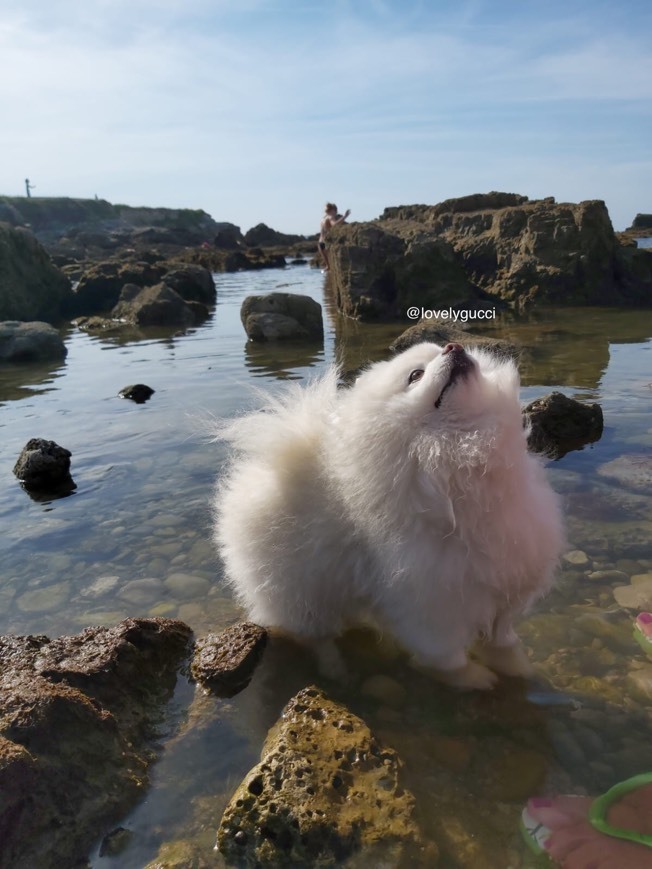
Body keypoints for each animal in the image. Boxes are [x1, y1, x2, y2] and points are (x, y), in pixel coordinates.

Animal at [215, 342, 564, 688]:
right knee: (314, 635)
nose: (454, 346)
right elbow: (446, 660)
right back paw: (335, 668)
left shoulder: (506, 588)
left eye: (441, 350)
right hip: (299, 593)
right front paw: (474, 679)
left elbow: (501, 641)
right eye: (415, 375)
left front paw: (518, 669)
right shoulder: (434, 606)